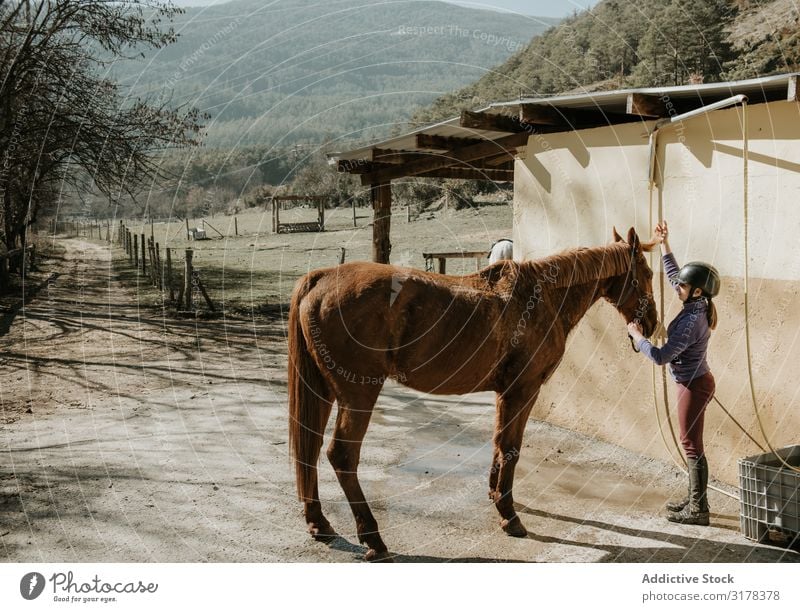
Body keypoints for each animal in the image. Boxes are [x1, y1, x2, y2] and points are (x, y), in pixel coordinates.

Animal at [288, 227, 656, 560]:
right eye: (647, 274)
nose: (651, 324)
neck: (542, 297)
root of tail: (321, 278)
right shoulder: (523, 390)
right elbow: (511, 448)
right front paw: (509, 516)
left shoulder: (506, 393)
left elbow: (499, 443)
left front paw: (496, 495)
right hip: (359, 394)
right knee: (342, 456)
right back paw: (373, 539)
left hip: (324, 392)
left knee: (310, 448)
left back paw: (320, 523)